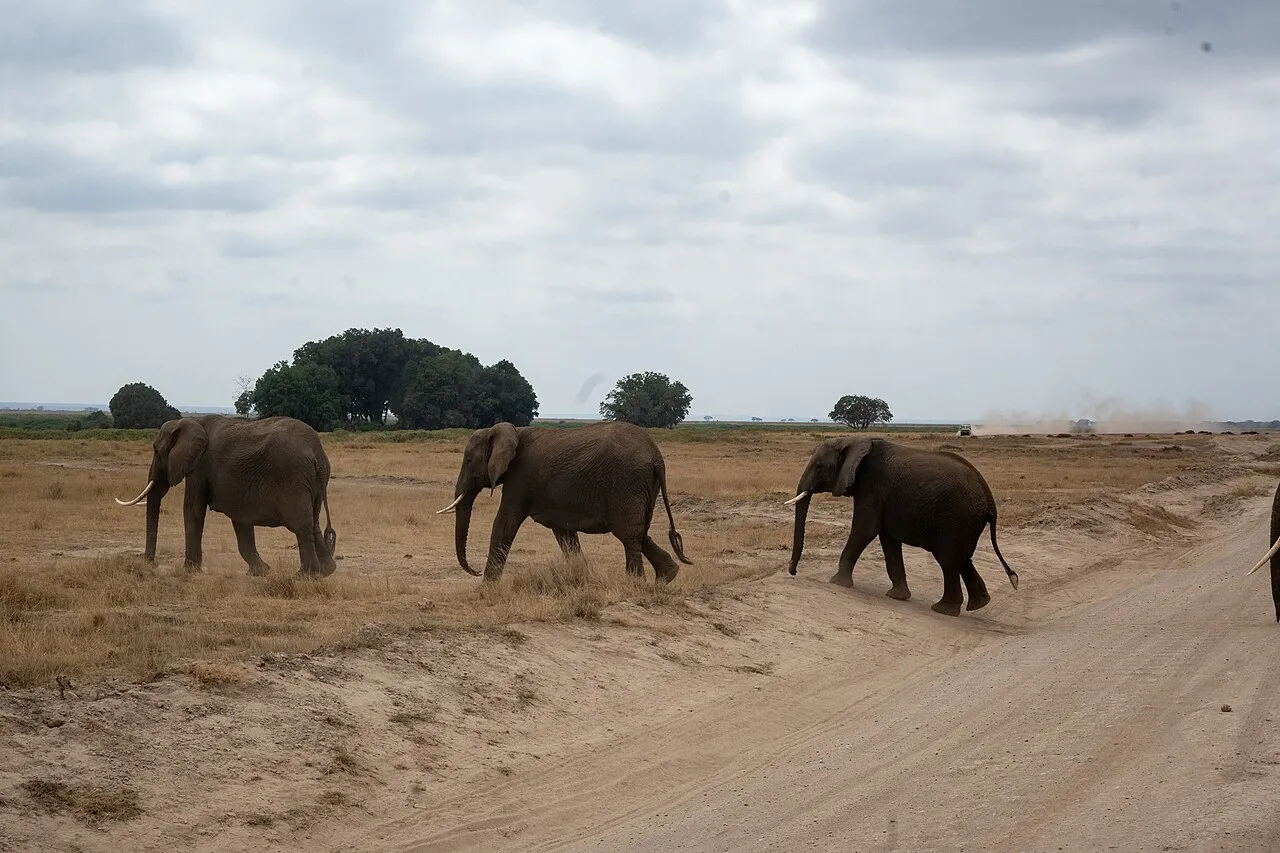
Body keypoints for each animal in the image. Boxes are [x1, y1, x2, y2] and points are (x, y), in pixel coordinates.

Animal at [114, 414, 337, 576]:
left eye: (155, 450)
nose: (148, 562)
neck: (188, 422)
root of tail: (316, 452)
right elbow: (241, 521)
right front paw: (260, 572)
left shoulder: (199, 467)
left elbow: (193, 509)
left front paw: (189, 570)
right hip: (314, 483)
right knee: (313, 523)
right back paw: (326, 572)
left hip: (292, 477)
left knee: (300, 524)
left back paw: (306, 575)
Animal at [436, 420, 692, 583]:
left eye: (469, 460)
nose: (475, 571)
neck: (511, 430)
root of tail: (657, 458)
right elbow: (564, 534)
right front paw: (581, 578)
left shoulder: (521, 478)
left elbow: (505, 522)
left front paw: (487, 589)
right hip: (642, 487)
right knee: (638, 532)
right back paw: (667, 576)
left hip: (626, 482)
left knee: (628, 534)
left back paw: (635, 585)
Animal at [784, 436, 1018, 616]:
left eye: (818, 466)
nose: (793, 572)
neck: (852, 441)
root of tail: (989, 499)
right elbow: (888, 539)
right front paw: (897, 596)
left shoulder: (872, 485)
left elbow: (865, 529)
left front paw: (836, 582)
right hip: (966, 523)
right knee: (962, 559)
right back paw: (979, 604)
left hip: (958, 518)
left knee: (948, 560)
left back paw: (943, 610)